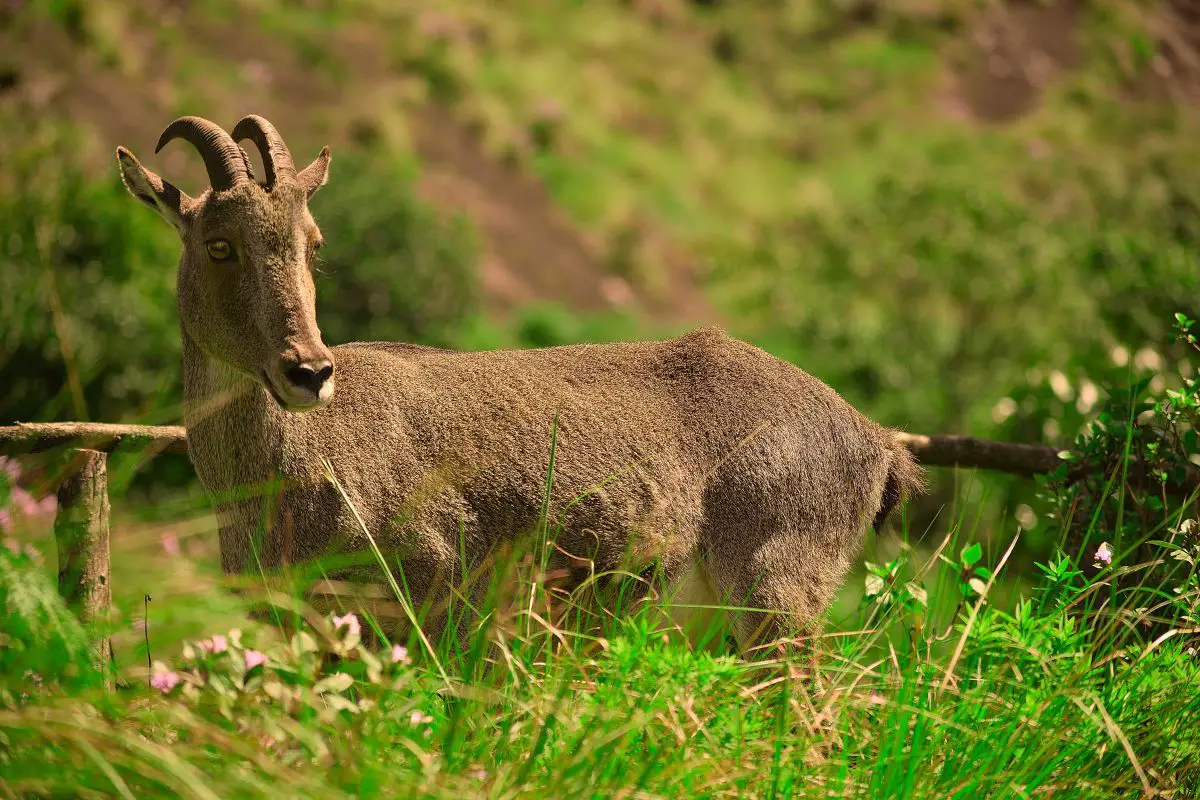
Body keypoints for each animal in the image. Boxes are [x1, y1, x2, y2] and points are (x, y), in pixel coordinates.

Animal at [117, 113, 921, 657]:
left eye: (311, 243)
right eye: (219, 244)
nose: (308, 371)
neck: (293, 464)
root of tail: (878, 441)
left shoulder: (426, 593)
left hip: (778, 600)